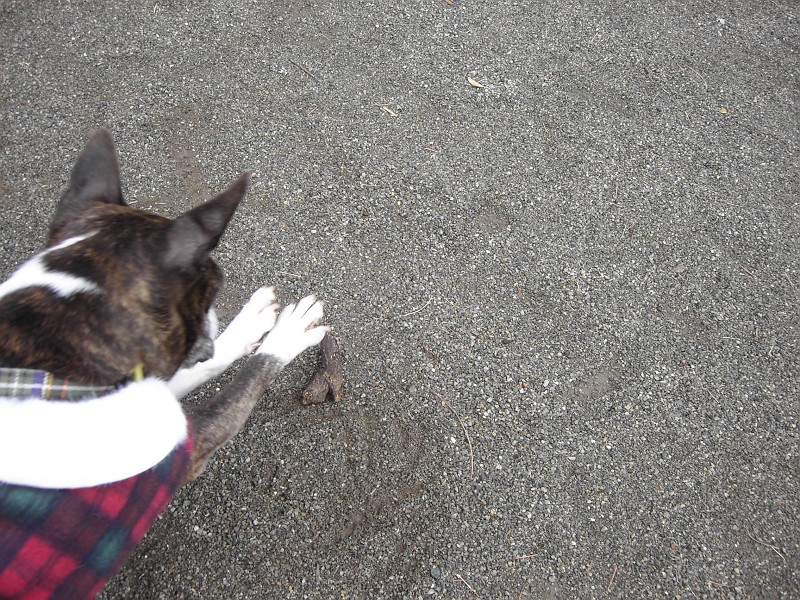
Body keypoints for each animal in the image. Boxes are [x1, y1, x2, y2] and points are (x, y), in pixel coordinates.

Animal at [0, 129, 328, 599]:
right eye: (210, 290)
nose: (213, 320)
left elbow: (204, 365)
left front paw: (248, 323)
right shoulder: (188, 446)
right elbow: (251, 376)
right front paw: (288, 333)